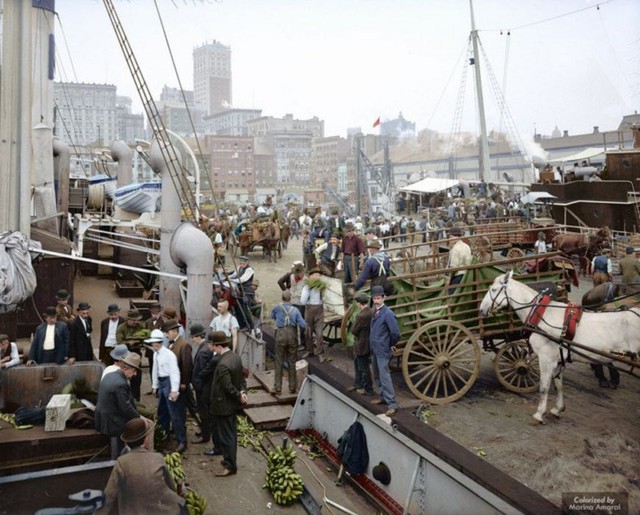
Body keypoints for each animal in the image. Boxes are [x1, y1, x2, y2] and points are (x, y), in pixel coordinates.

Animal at [480, 272, 640, 426]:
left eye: (493, 289)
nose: (481, 309)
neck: (542, 314)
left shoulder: (546, 358)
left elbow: (544, 388)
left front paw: (539, 414)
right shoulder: (557, 359)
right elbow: (558, 385)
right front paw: (558, 409)